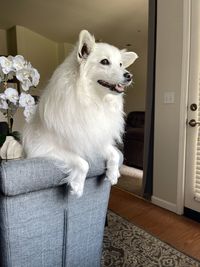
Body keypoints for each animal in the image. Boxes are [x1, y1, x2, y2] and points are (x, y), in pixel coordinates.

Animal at [21, 30, 138, 198]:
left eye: (121, 64)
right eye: (104, 62)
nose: (129, 76)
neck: (93, 99)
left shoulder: (93, 139)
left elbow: (115, 153)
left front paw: (113, 174)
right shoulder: (42, 147)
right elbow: (83, 163)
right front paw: (77, 186)